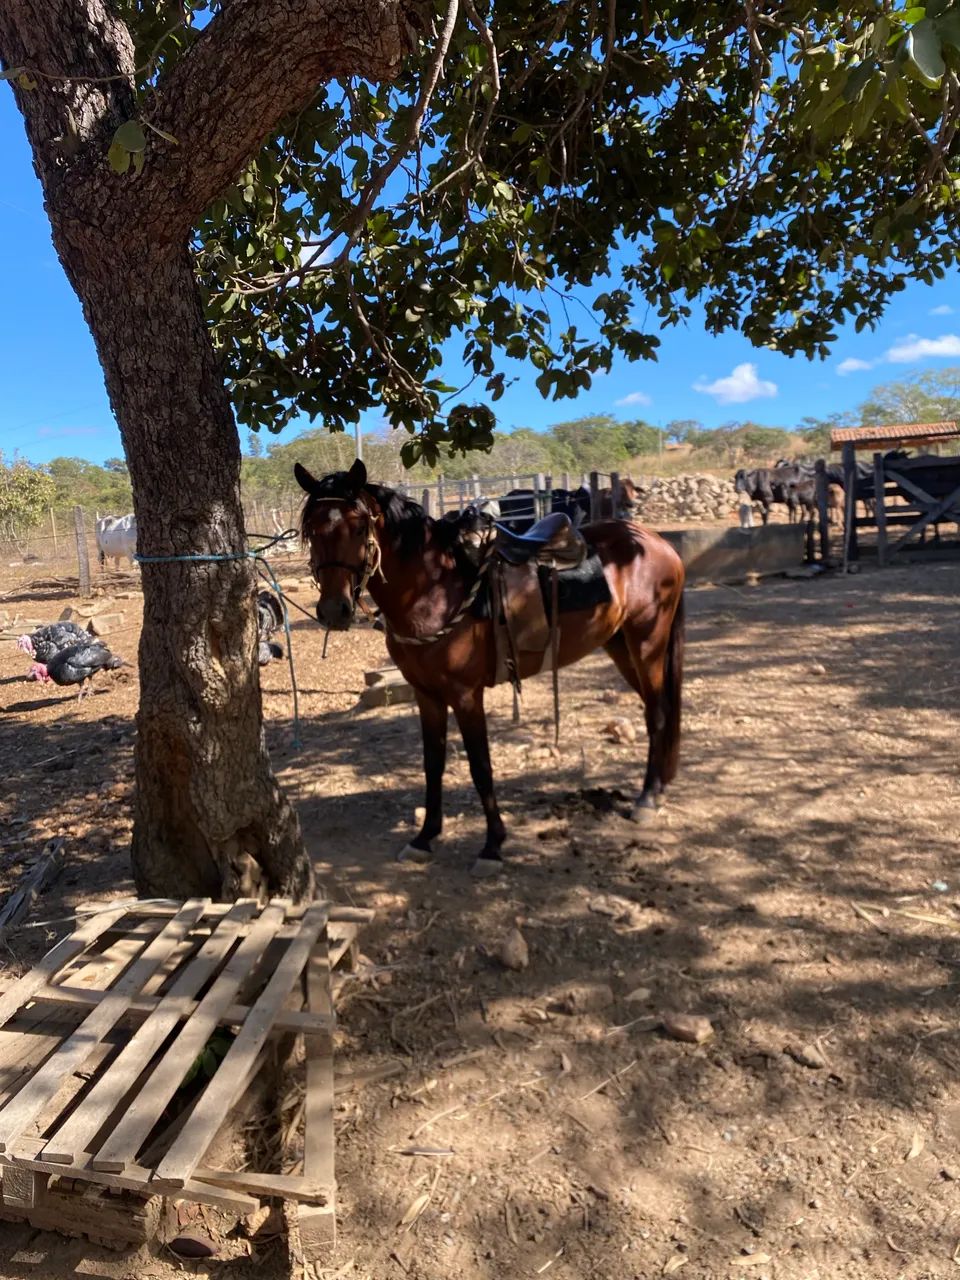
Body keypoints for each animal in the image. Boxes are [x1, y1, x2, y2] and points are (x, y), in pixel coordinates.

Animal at [297, 459, 686, 877]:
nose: (334, 610)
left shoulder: (467, 696)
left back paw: (647, 800)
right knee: (655, 709)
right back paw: (659, 788)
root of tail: (655, 542)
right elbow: (432, 764)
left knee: (658, 713)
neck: (434, 589)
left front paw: (492, 846)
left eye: (358, 527)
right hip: (620, 644)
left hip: (647, 641)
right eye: (311, 530)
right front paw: (425, 837)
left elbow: (480, 767)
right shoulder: (426, 695)